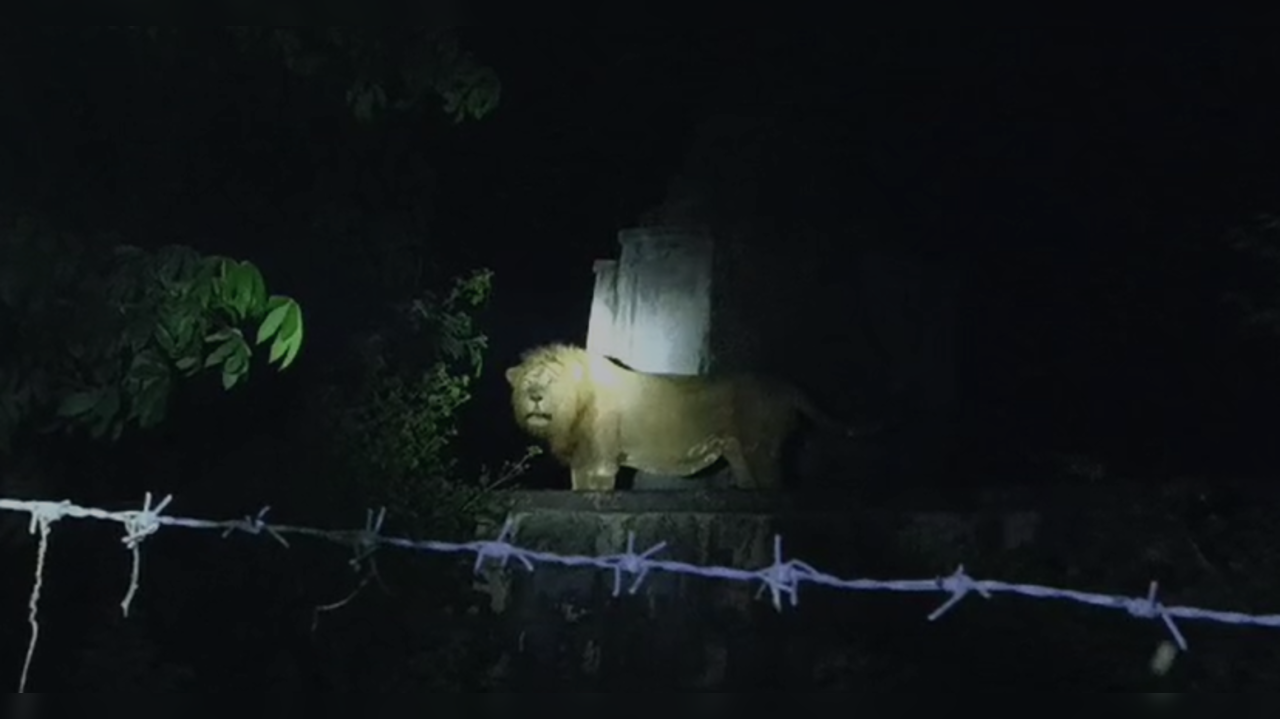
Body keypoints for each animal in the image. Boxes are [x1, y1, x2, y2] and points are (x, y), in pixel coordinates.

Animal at [504, 340, 865, 486]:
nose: (535, 397)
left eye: (551, 382)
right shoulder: (581, 463)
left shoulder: (602, 465)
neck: (570, 415)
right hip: (738, 453)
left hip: (761, 450)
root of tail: (787, 385)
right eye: (528, 384)